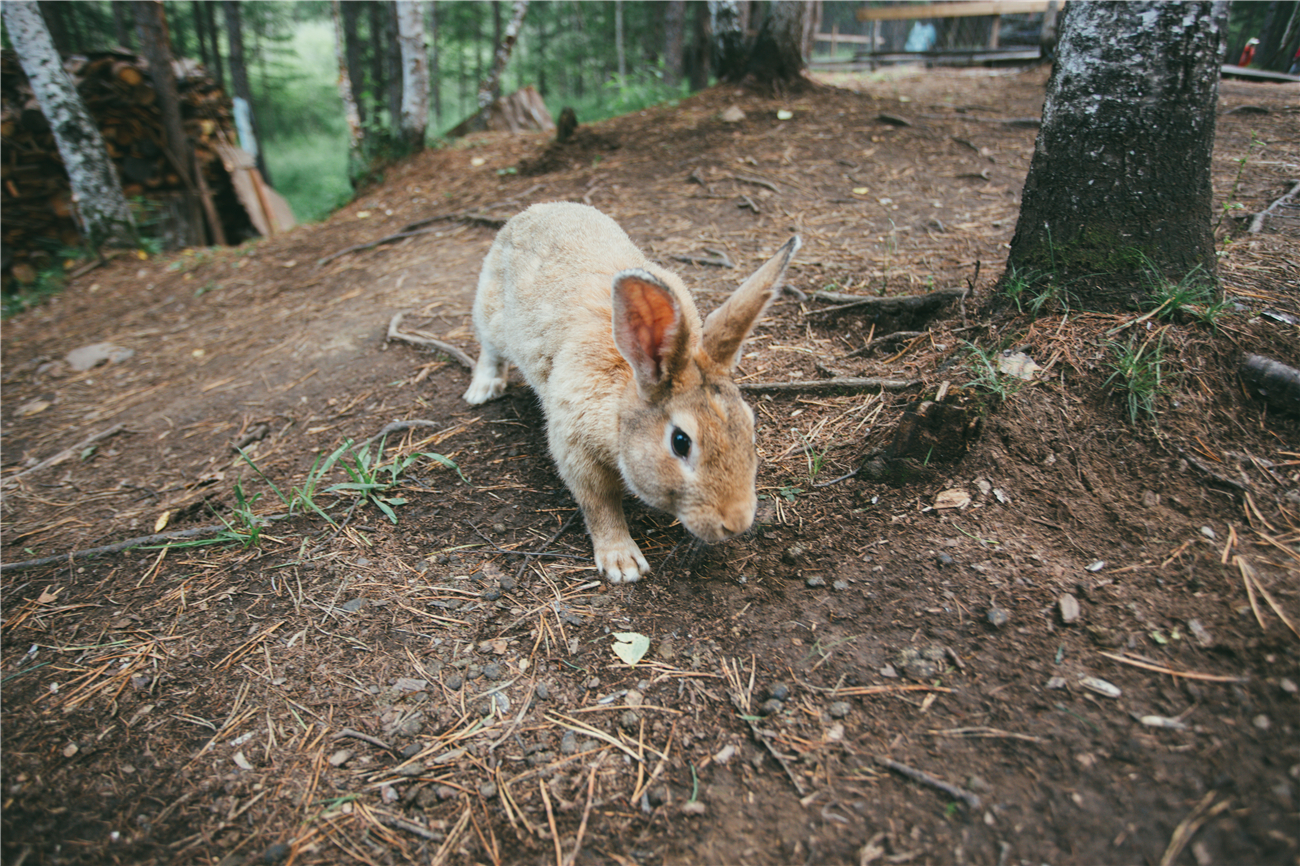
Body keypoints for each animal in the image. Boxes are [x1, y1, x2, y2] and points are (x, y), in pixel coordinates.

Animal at [462, 200, 795, 579]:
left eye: (750, 427)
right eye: (681, 442)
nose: (735, 523)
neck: (623, 400)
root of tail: (534, 210)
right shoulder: (575, 452)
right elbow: (600, 507)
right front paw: (623, 564)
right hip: (491, 314)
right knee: (489, 347)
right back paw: (482, 389)